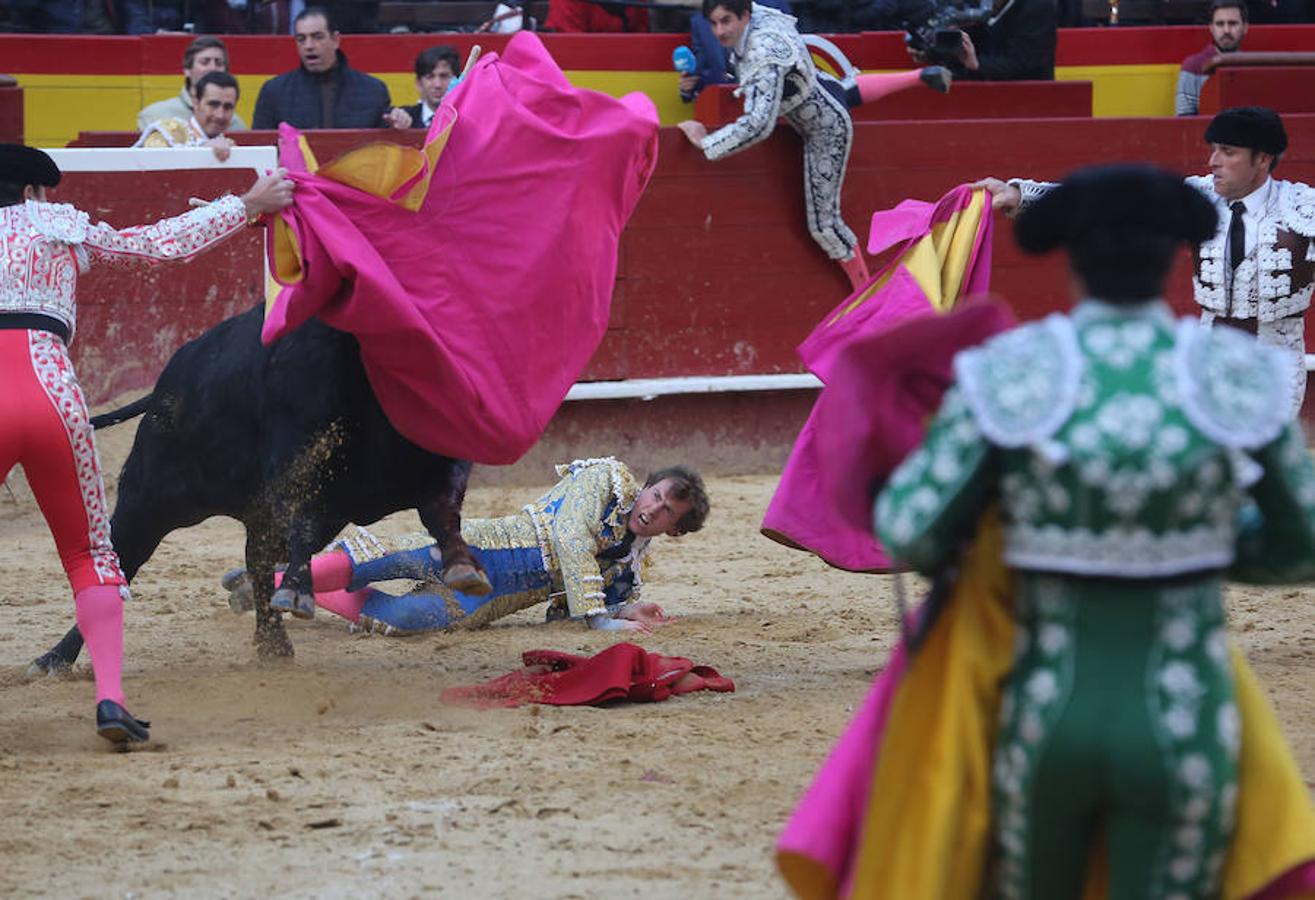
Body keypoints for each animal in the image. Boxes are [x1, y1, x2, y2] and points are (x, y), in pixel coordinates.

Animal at [28, 305, 491, 671]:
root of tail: (165, 384)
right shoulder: (300, 467)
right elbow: (305, 523)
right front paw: (297, 594)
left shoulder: (443, 463)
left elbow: (443, 513)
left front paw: (465, 568)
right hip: (147, 500)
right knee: (120, 559)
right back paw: (53, 659)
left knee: (259, 557)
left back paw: (273, 643)